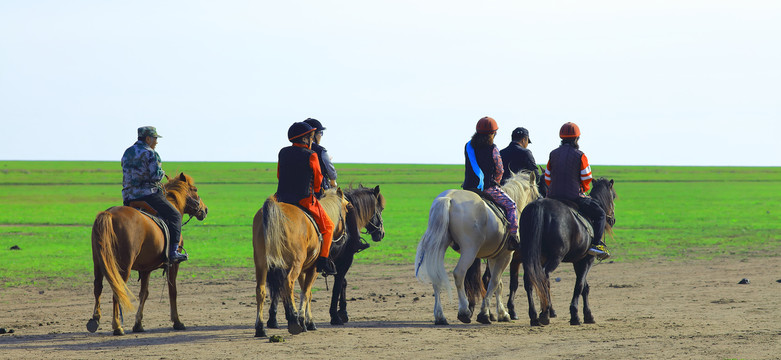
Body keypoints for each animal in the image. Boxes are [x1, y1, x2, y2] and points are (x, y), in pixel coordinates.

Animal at [86, 173, 207, 336]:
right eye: (195, 189)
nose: (205, 209)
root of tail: (109, 214)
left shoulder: (145, 269)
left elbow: (144, 293)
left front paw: (138, 324)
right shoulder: (173, 265)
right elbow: (172, 291)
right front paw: (177, 321)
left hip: (98, 262)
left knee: (98, 287)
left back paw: (95, 320)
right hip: (123, 266)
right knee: (117, 290)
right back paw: (117, 326)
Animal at [251, 188, 348, 338]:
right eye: (347, 209)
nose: (345, 235)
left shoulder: (303, 270)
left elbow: (305, 292)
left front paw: (305, 320)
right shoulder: (313, 269)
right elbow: (306, 293)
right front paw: (305, 320)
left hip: (261, 264)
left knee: (260, 290)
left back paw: (260, 328)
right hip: (295, 264)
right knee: (288, 283)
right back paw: (293, 320)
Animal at [264, 186, 386, 330]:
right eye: (380, 209)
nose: (381, 233)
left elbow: (342, 283)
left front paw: (341, 311)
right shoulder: (345, 260)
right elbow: (338, 286)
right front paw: (337, 315)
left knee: (279, 284)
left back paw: (275, 318)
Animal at [414, 172, 536, 326]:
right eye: (537, 192)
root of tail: (448, 198)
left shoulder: (494, 257)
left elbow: (498, 284)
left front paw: (501, 313)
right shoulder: (506, 256)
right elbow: (494, 281)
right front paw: (485, 314)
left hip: (440, 245)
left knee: (435, 274)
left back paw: (440, 316)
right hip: (469, 250)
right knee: (459, 273)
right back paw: (464, 311)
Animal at [516, 177, 616, 326]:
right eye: (613, 196)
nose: (613, 219)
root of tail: (540, 206)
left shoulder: (578, 261)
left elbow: (584, 287)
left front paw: (587, 315)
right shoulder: (587, 260)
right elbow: (579, 285)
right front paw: (576, 315)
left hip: (530, 255)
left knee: (530, 279)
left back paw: (534, 316)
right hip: (556, 257)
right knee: (544, 276)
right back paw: (545, 313)